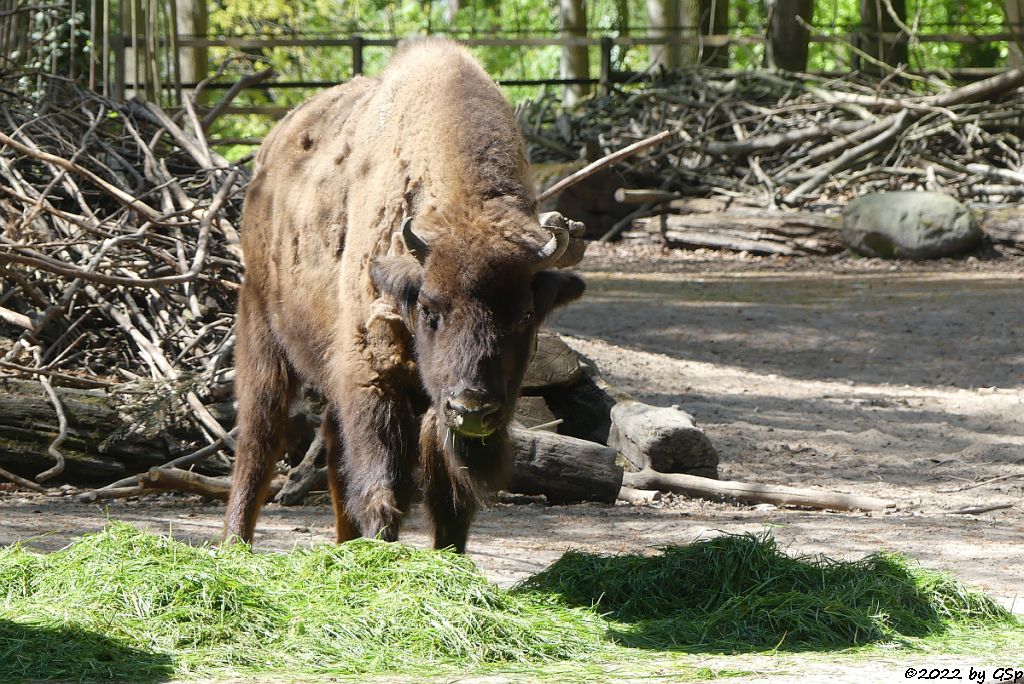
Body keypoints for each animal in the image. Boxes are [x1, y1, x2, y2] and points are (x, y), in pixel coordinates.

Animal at [228, 37, 589, 552]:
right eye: (430, 309)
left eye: (525, 316)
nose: (472, 408)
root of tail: (268, 155)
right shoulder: (374, 375)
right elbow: (383, 485)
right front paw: (384, 551)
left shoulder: (432, 408)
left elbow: (448, 499)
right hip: (262, 335)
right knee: (258, 444)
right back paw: (233, 545)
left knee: (332, 452)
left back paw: (344, 547)